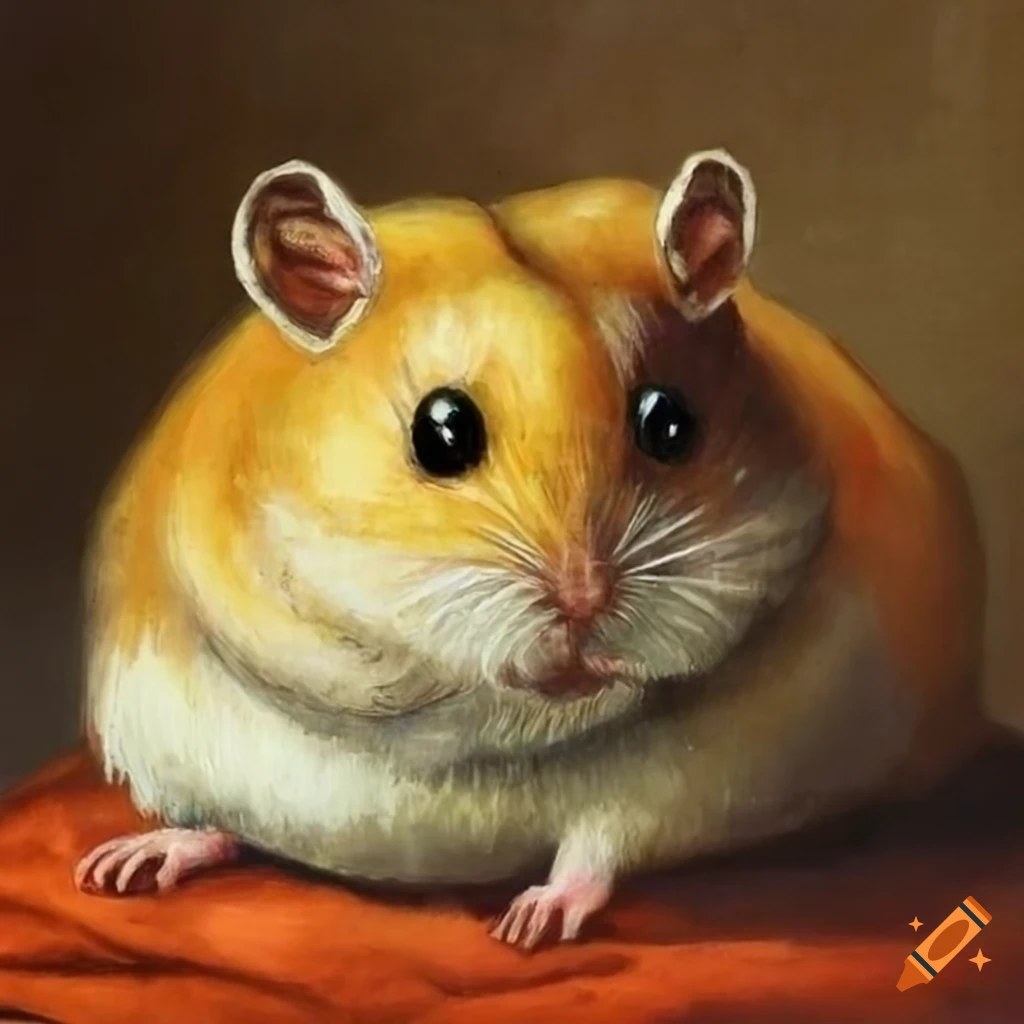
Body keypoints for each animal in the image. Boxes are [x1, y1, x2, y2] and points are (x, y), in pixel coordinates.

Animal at [74, 149, 985, 950]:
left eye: (669, 423)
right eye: (441, 431)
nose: (585, 603)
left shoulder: (676, 785)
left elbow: (599, 841)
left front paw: (529, 925)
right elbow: (215, 804)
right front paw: (119, 865)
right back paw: (124, 864)